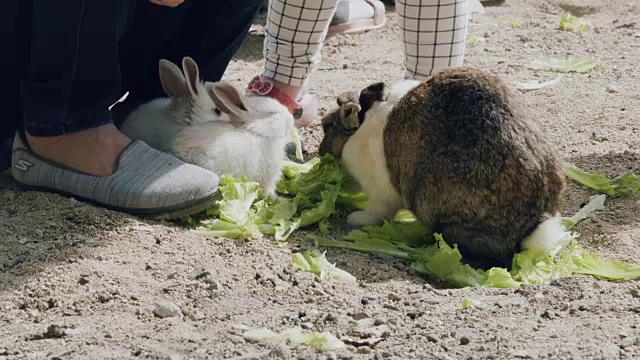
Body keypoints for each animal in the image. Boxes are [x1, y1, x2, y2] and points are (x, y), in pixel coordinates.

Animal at [318, 67, 564, 268]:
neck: (362, 130)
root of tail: (532, 224)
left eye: (327, 126)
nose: (321, 154)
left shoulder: (381, 195)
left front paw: (356, 219)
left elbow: (377, 212)